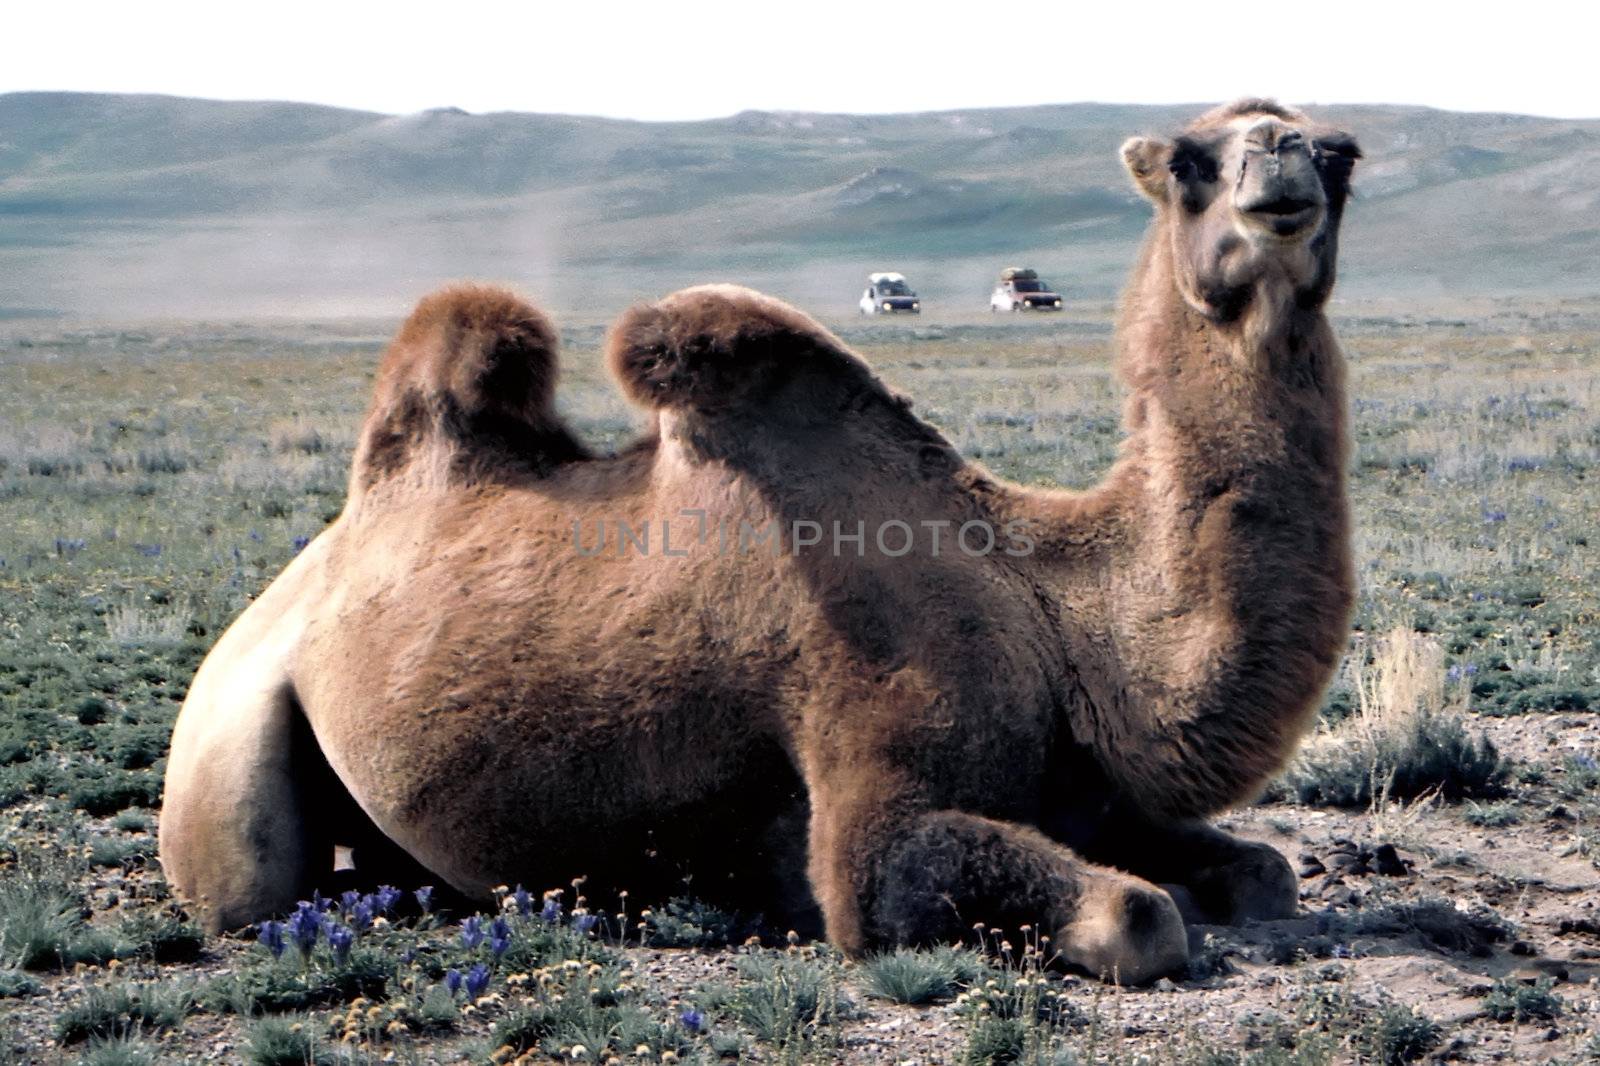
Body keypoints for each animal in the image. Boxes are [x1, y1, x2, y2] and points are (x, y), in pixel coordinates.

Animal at [159, 99, 1363, 979]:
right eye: (1190, 162)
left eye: (1343, 154)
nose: (1284, 156)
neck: (1052, 611)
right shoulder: (867, 783)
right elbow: (1131, 918)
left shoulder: (1090, 789)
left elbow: (1265, 872)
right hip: (228, 748)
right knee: (250, 887)